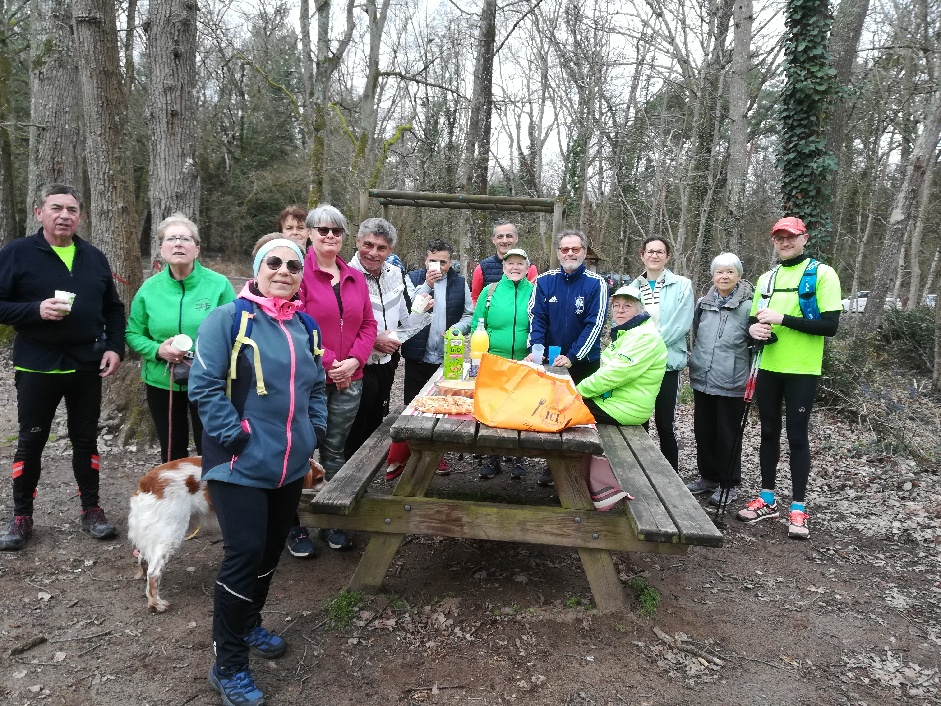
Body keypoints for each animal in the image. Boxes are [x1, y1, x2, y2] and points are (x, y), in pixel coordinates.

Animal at [128, 456, 326, 613]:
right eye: (320, 479)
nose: (327, 484)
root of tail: (146, 482)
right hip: (170, 534)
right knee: (154, 573)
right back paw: (156, 604)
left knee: (143, 559)